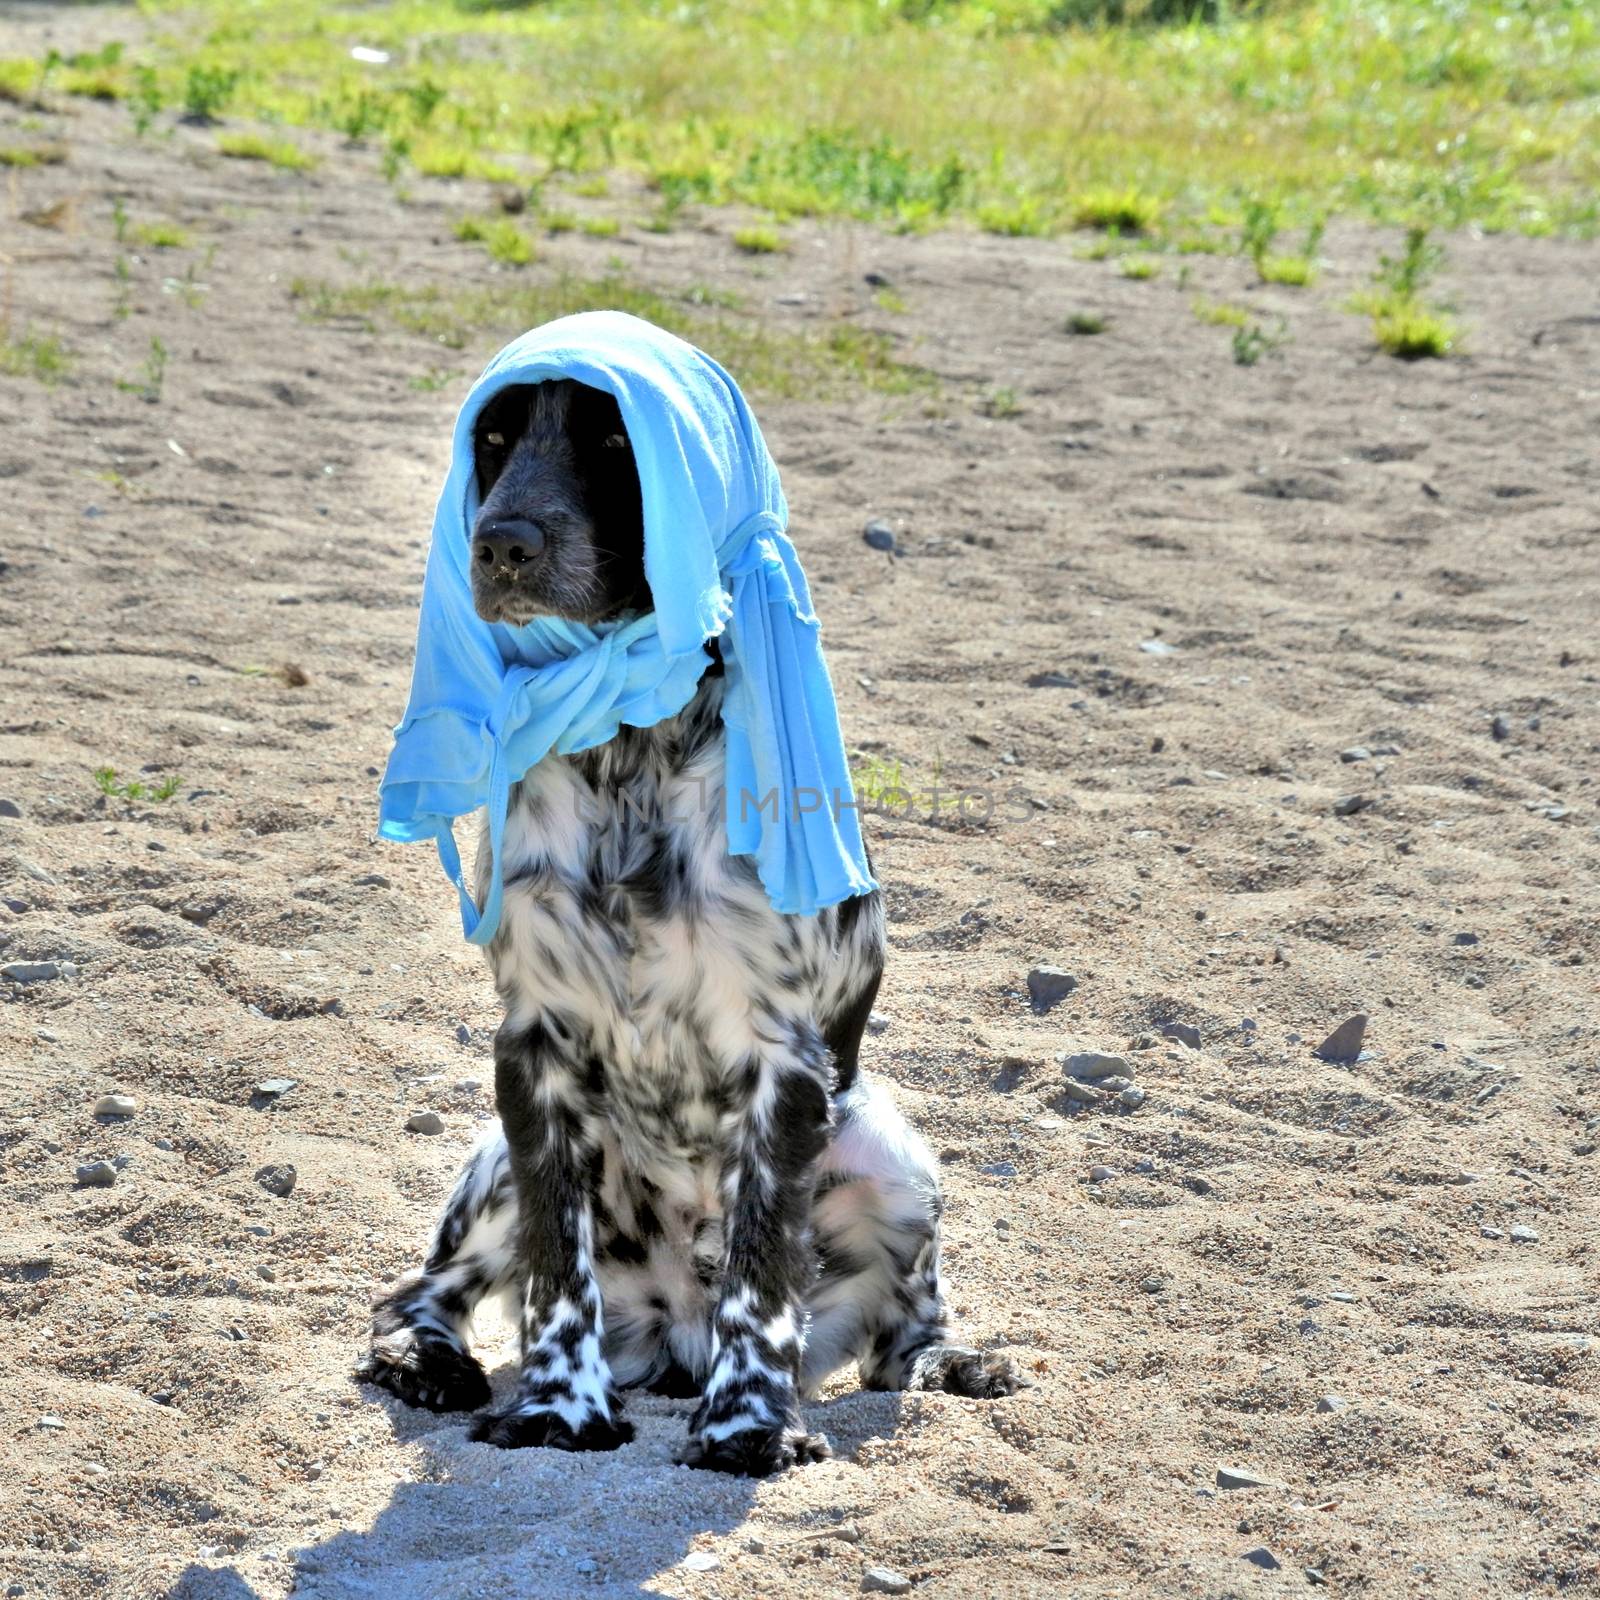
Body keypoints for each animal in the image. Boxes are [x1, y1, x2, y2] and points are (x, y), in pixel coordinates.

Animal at [358, 377, 1017, 1472]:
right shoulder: (531, 1050)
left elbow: (762, 1268)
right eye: (493, 436)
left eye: (614, 440)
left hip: (891, 1153)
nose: (500, 544)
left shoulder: (782, 1058)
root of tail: (672, 1338)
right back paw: (431, 1361)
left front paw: (749, 1423)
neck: (630, 752)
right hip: (494, 1165)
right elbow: (556, 1269)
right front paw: (559, 1407)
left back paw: (951, 1362)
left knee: (899, 1337)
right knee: (415, 1293)